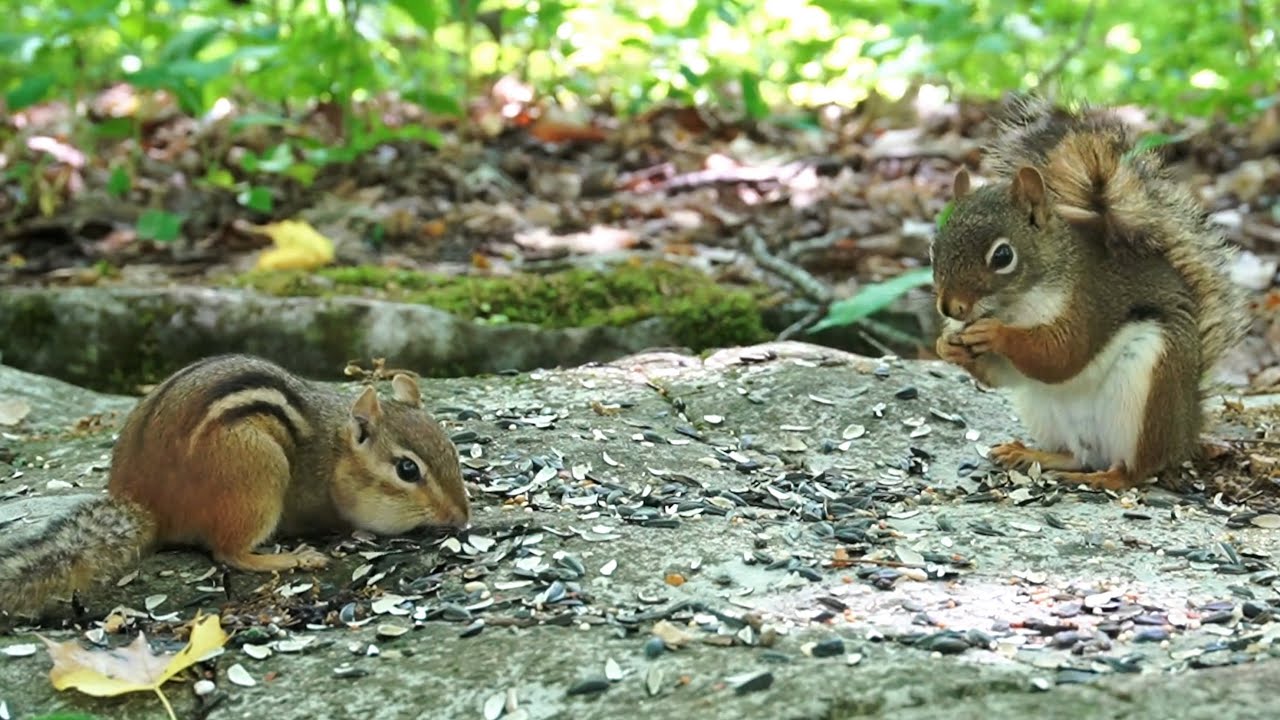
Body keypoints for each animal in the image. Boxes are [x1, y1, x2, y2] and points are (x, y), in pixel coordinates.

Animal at [0, 354, 471, 617]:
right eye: (407, 470)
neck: (335, 454)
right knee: (229, 552)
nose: (462, 518)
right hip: (259, 475)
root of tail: (146, 506)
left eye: (452, 448)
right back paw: (293, 558)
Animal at [930, 97, 1250, 491]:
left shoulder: (1090, 301)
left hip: (1147, 387)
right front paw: (946, 345)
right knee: (1076, 454)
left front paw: (995, 334)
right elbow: (1004, 376)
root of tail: (1187, 432)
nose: (950, 307)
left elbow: (1063, 354)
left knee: (1135, 470)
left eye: (1002, 256)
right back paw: (1031, 454)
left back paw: (1105, 478)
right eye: (934, 248)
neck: (1016, 306)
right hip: (1043, 410)